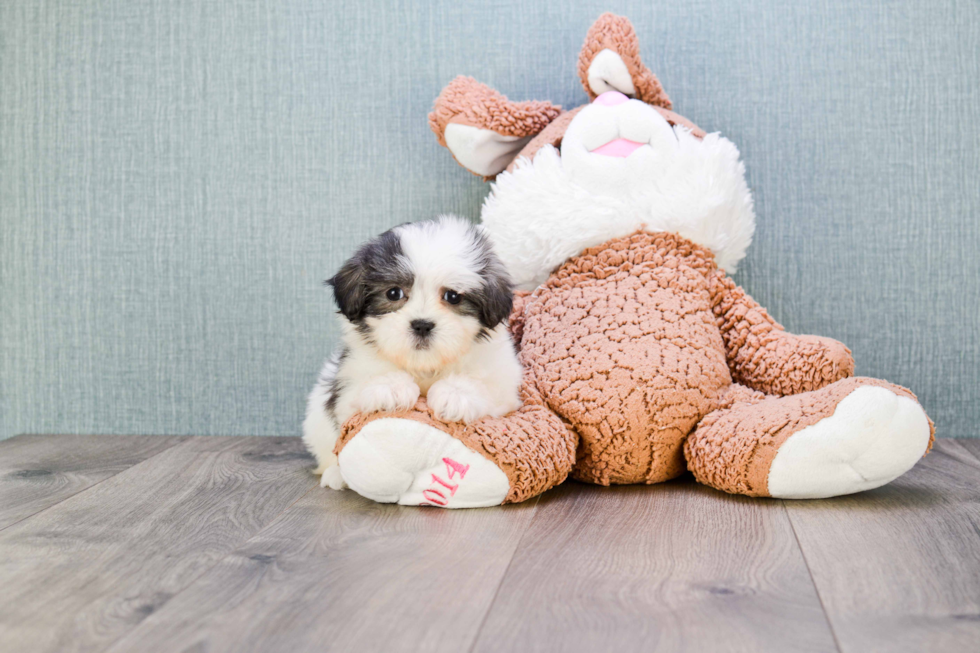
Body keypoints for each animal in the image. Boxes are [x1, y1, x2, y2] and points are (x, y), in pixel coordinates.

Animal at [302, 216, 524, 486]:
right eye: (393, 293)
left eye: (453, 296)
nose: (422, 324)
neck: (424, 365)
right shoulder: (349, 380)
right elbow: (358, 395)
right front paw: (390, 387)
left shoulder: (503, 384)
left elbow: (485, 387)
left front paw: (456, 394)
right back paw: (335, 474)